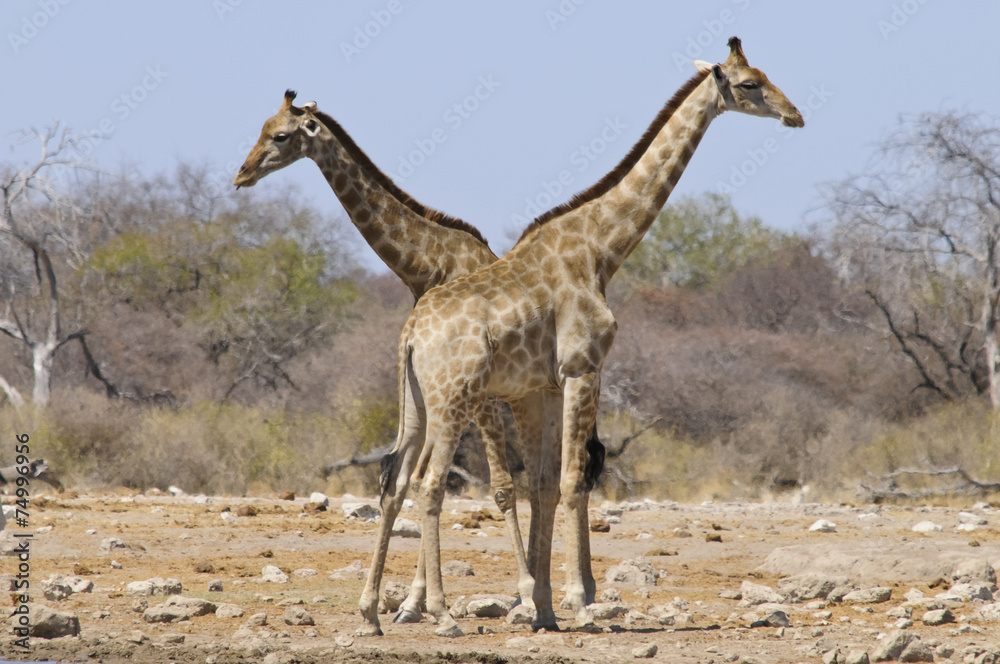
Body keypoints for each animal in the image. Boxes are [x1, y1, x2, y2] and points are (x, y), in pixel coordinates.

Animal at [232, 92, 596, 634]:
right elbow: (415, 477)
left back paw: (575, 591)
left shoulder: (473, 394)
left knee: (573, 470)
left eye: (279, 135)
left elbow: (496, 486)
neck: (426, 264)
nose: (241, 175)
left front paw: (510, 593)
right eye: (261, 126)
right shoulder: (433, 390)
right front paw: (412, 603)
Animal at [382, 37, 804, 636]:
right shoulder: (585, 367)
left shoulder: (545, 386)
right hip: (453, 398)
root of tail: (412, 333)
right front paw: (578, 600)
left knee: (398, 480)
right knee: (429, 481)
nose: (795, 115)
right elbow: (574, 480)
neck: (600, 250)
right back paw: (439, 612)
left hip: (417, 401)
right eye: (750, 84)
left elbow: (544, 483)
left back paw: (378, 610)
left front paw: (541, 607)